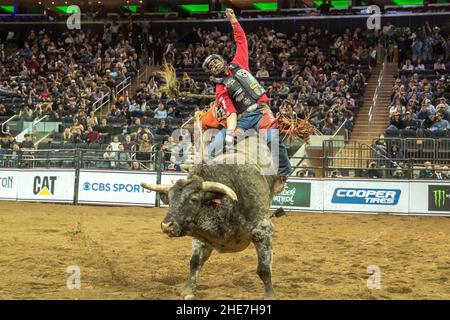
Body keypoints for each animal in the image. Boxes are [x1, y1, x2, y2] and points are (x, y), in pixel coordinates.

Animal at [141, 138, 284, 300]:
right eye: (170, 199)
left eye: (194, 199)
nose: (167, 225)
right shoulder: (201, 237)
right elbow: (195, 263)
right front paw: (188, 291)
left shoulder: (263, 230)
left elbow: (264, 269)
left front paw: (270, 295)